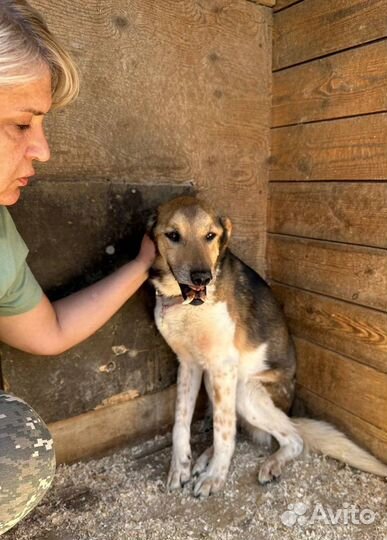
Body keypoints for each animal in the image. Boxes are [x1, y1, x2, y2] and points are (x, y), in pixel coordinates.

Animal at [147, 195, 386, 498]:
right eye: (173, 235)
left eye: (210, 236)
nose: (202, 277)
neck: (186, 303)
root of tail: (290, 410)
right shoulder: (189, 365)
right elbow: (181, 423)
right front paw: (180, 467)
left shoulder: (223, 366)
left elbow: (224, 432)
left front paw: (216, 476)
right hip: (217, 384)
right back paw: (204, 458)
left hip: (244, 389)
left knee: (292, 438)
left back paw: (271, 462)